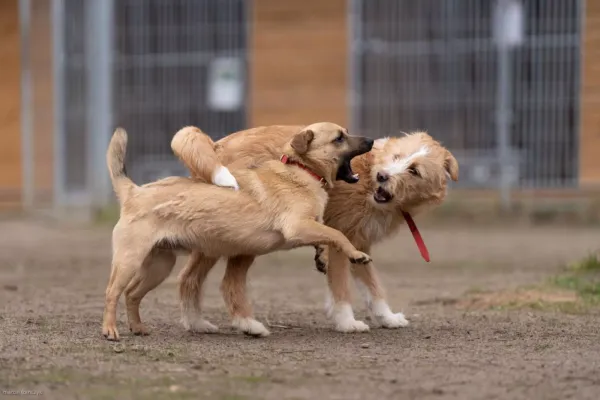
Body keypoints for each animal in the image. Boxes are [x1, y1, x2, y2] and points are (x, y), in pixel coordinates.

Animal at [103, 122, 376, 340]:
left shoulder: (311, 226)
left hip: (160, 266)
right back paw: (110, 330)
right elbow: (337, 234)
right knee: (112, 293)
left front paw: (323, 256)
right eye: (339, 138)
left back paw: (138, 327)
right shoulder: (297, 226)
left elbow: (327, 237)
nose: (372, 140)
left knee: (132, 294)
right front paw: (356, 254)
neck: (301, 169)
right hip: (130, 260)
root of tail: (133, 191)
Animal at [173, 125, 460, 332]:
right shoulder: (343, 238)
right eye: (397, 157)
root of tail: (215, 146)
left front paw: (387, 318)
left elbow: (373, 286)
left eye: (414, 171)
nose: (383, 177)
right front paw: (347, 322)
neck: (367, 178)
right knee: (203, 279)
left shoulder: (360, 245)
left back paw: (200, 323)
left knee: (193, 279)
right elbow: (342, 287)